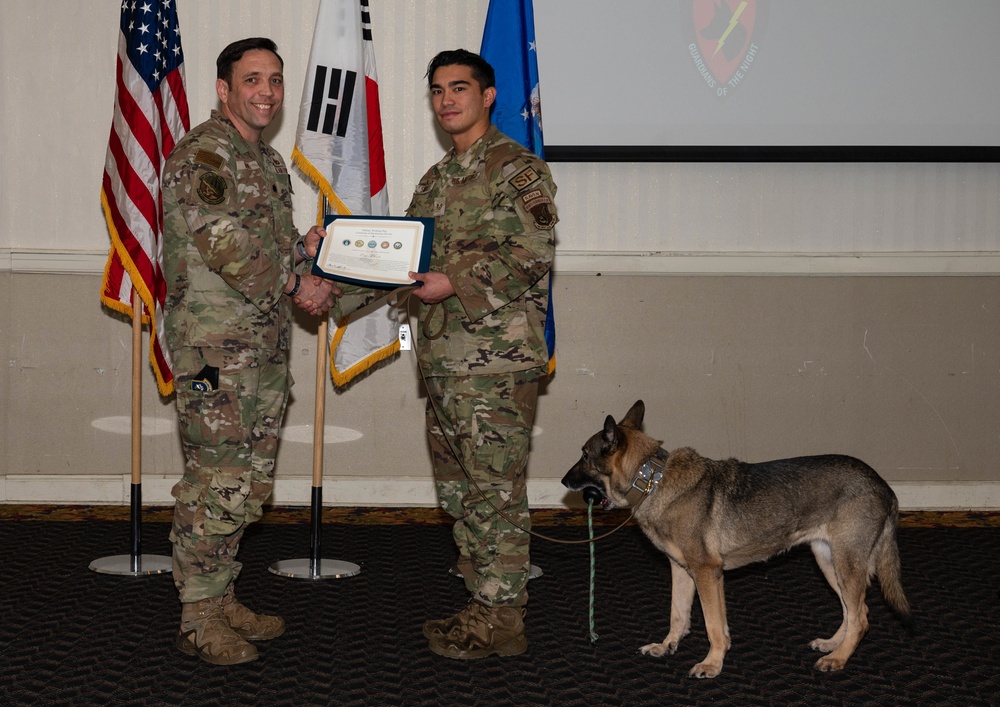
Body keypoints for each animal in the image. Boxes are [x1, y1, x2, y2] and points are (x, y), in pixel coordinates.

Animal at [568, 402, 912, 676]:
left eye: (583, 455)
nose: (564, 481)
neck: (653, 479)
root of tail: (884, 487)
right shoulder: (682, 571)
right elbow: (678, 615)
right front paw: (667, 646)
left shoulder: (707, 574)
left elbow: (714, 627)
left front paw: (712, 664)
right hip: (829, 562)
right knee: (853, 611)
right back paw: (832, 645)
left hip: (846, 564)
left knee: (861, 618)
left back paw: (838, 659)